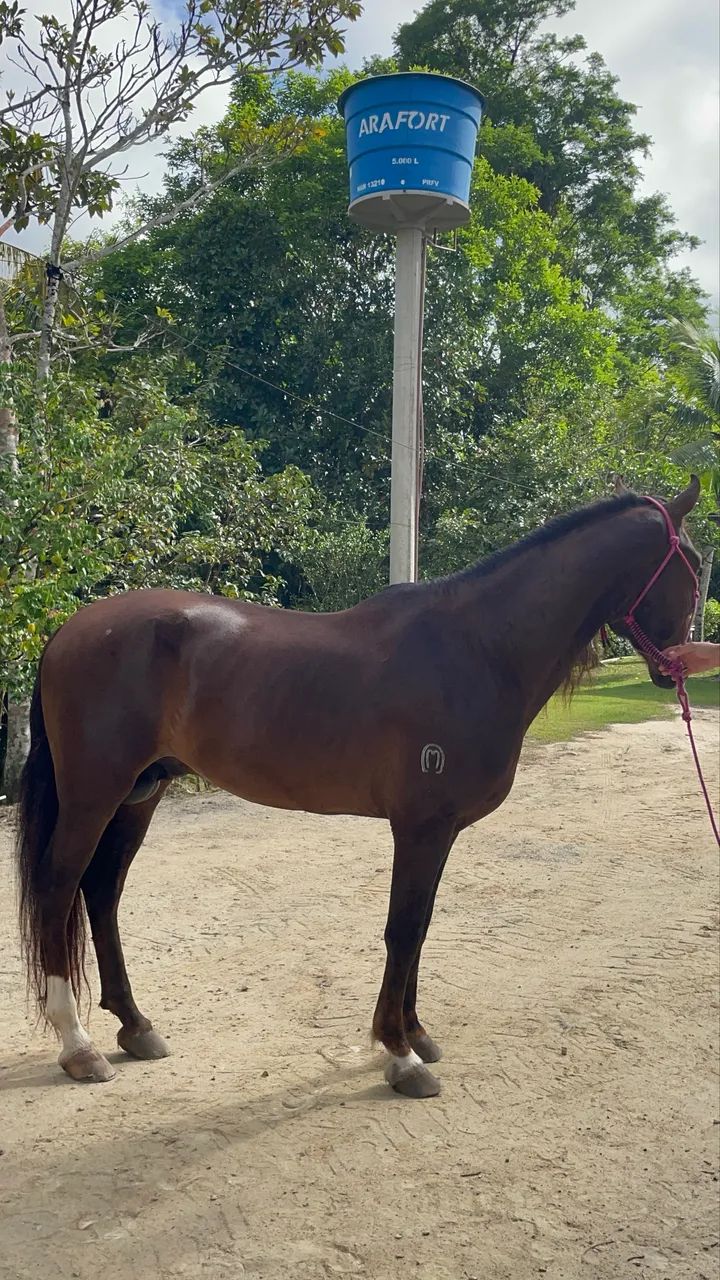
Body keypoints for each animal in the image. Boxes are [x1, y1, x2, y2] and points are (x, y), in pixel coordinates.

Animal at [14, 478, 701, 1099]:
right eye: (692, 569)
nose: (680, 664)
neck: (478, 650)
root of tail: (68, 630)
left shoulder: (439, 829)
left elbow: (420, 926)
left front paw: (415, 1034)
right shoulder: (421, 826)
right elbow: (403, 927)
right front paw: (400, 1057)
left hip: (140, 795)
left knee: (102, 893)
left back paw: (136, 1027)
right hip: (94, 794)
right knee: (58, 887)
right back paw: (78, 1047)